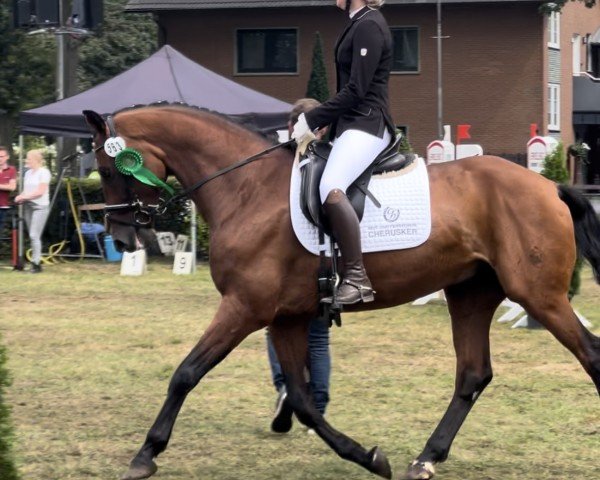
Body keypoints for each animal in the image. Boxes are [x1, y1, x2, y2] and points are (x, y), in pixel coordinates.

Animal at [83, 106, 600, 480]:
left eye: (107, 169)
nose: (122, 238)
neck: (246, 188)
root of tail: (550, 187)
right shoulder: (284, 317)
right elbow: (302, 400)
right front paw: (367, 456)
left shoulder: (244, 308)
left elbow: (186, 373)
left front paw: (146, 453)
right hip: (470, 294)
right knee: (473, 375)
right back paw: (425, 459)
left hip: (538, 296)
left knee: (590, 355)